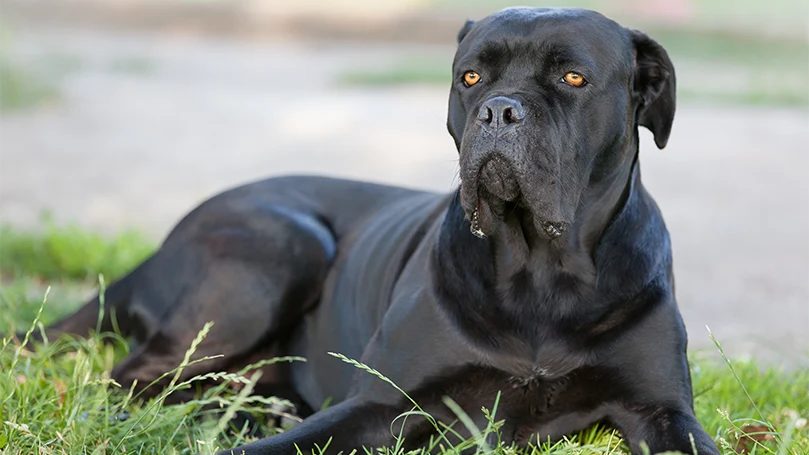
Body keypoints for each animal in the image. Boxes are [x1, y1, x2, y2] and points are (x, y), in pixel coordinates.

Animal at [38, 7, 720, 455]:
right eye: (471, 77)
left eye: (572, 78)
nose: (500, 110)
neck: (540, 273)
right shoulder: (383, 403)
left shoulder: (659, 409)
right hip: (285, 245)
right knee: (132, 380)